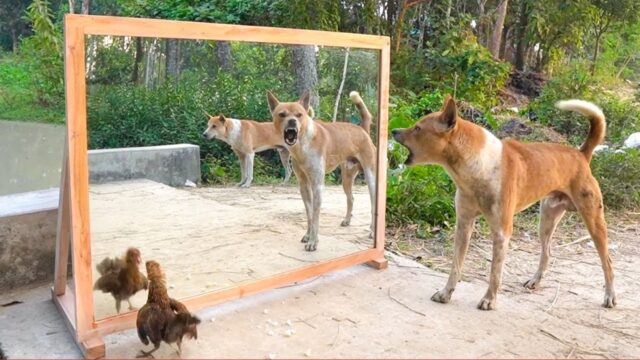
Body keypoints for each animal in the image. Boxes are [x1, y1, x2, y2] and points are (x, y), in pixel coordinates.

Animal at [268, 90, 378, 252]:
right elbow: (309, 214)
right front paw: (308, 236)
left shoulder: (317, 185)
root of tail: (362, 129)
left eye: (299, 115)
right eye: (282, 114)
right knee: (351, 198)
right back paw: (346, 220)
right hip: (346, 179)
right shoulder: (304, 185)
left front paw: (313, 242)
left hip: (371, 178)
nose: (292, 121)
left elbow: (315, 216)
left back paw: (372, 231)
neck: (303, 146)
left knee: (373, 205)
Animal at [390, 95, 616, 310]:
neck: (478, 167)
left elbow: (495, 273)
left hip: (594, 221)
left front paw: (489, 300)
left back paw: (610, 296)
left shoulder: (501, 232)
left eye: (418, 128)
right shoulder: (463, 225)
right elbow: (456, 266)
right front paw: (446, 293)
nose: (393, 130)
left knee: (607, 262)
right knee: (547, 253)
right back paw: (535, 281)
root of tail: (580, 154)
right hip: (546, 220)